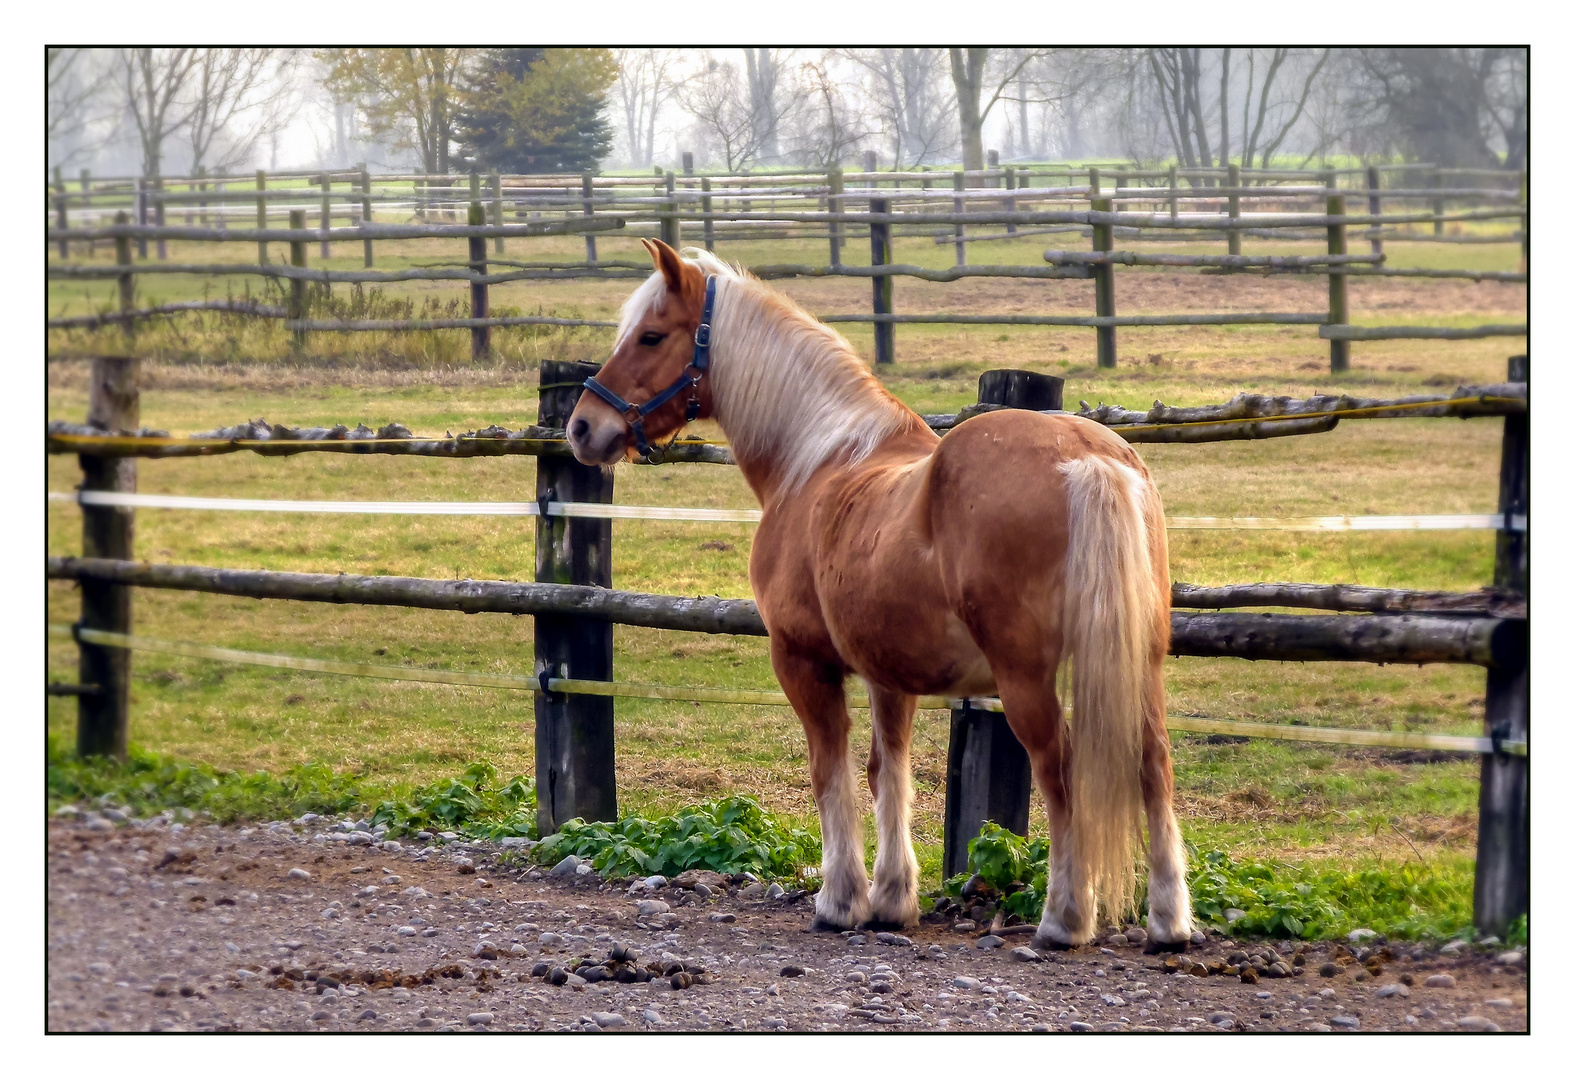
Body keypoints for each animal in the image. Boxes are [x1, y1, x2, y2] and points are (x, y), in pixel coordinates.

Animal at [567, 240, 1190, 950]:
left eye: (651, 335)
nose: (582, 426)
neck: (816, 460)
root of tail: (1087, 455)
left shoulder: (802, 660)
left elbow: (829, 771)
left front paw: (841, 900)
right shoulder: (889, 673)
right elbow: (887, 771)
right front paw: (893, 898)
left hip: (1025, 676)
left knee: (1056, 769)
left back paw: (1065, 917)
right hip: (1140, 663)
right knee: (1154, 763)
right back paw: (1169, 919)